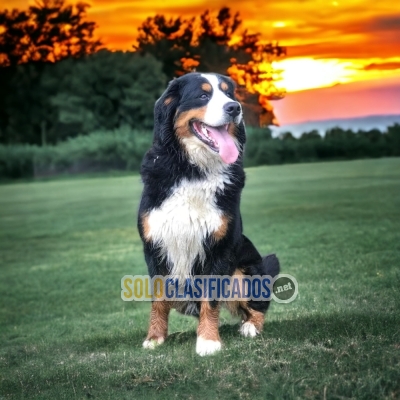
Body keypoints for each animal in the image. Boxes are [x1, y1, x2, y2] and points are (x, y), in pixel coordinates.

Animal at [139, 72, 280, 356]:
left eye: (229, 94)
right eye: (203, 95)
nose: (234, 108)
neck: (193, 170)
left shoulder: (219, 247)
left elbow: (210, 301)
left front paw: (208, 340)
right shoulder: (154, 246)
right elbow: (158, 300)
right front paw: (155, 337)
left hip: (244, 271)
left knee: (258, 306)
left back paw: (250, 327)